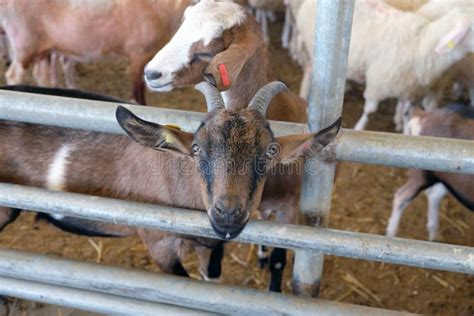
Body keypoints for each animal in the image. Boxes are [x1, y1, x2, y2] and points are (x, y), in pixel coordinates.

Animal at [1, 0, 193, 104]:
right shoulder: (139, 53)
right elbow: (137, 94)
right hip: (24, 43)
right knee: (14, 74)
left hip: (44, 49)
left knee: (41, 75)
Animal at [386, 102, 472, 241]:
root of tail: (424, 116)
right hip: (423, 175)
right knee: (401, 196)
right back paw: (390, 234)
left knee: (433, 196)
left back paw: (434, 235)